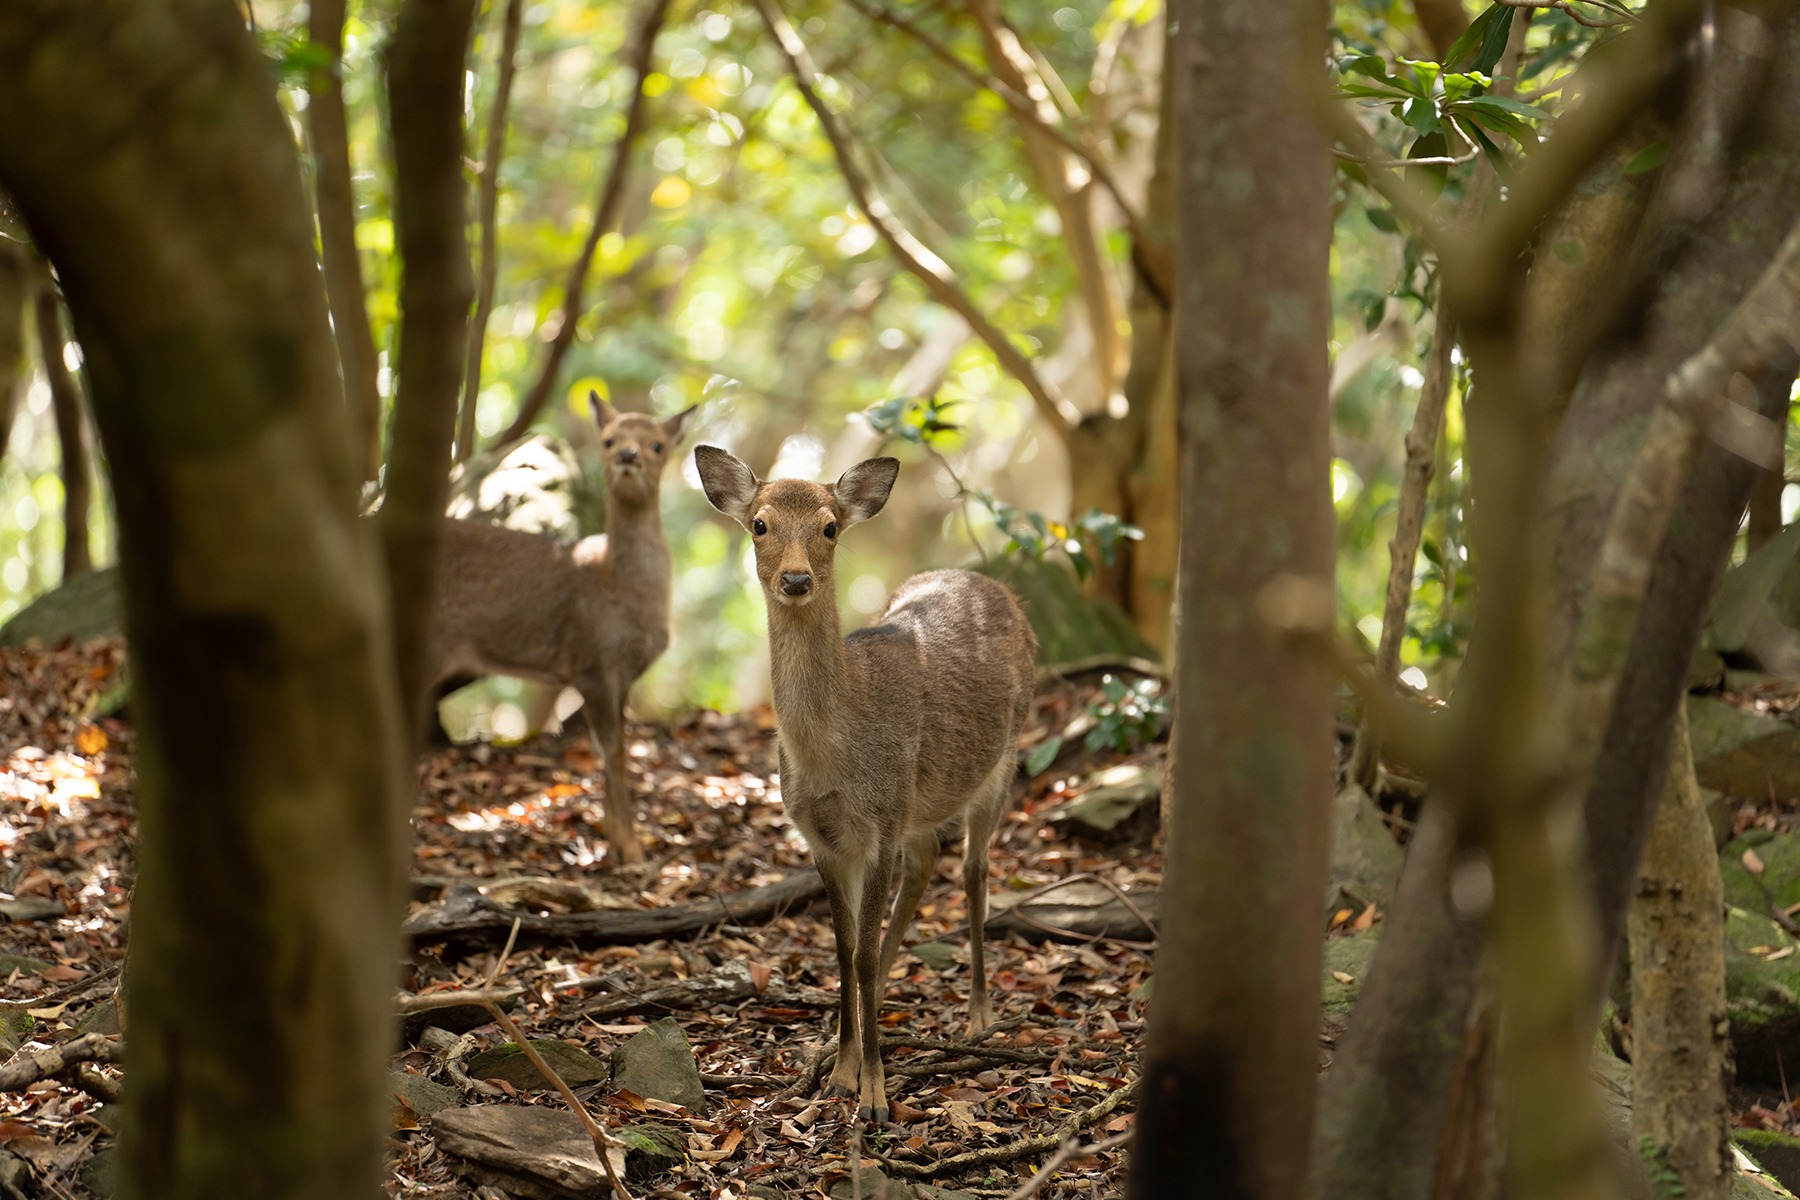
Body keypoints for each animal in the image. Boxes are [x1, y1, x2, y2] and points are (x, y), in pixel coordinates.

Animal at [428, 399, 694, 867]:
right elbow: (614, 750)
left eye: (657, 444)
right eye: (609, 440)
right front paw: (630, 848)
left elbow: (613, 747)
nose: (628, 455)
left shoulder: (621, 674)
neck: (616, 587)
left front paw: (615, 835)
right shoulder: (590, 662)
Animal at [687, 444, 1036, 1129]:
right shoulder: (824, 837)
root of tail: (995, 586)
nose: (796, 580)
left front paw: (874, 1093)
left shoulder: (879, 822)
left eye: (830, 527)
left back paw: (980, 1015)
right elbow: (846, 950)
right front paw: (839, 1072)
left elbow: (864, 953)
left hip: (1000, 761)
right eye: (759, 524)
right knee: (927, 860)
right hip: (919, 803)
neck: (833, 759)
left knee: (974, 871)